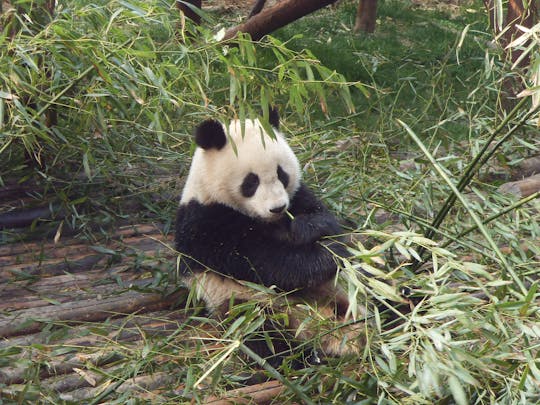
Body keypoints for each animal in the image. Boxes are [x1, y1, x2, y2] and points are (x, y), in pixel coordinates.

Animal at [175, 109, 364, 362]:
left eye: (281, 174)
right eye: (251, 181)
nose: (278, 207)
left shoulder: (298, 195)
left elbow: (324, 219)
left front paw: (306, 229)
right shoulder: (206, 224)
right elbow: (264, 262)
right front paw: (324, 257)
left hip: (351, 288)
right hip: (246, 302)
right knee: (264, 332)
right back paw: (303, 358)